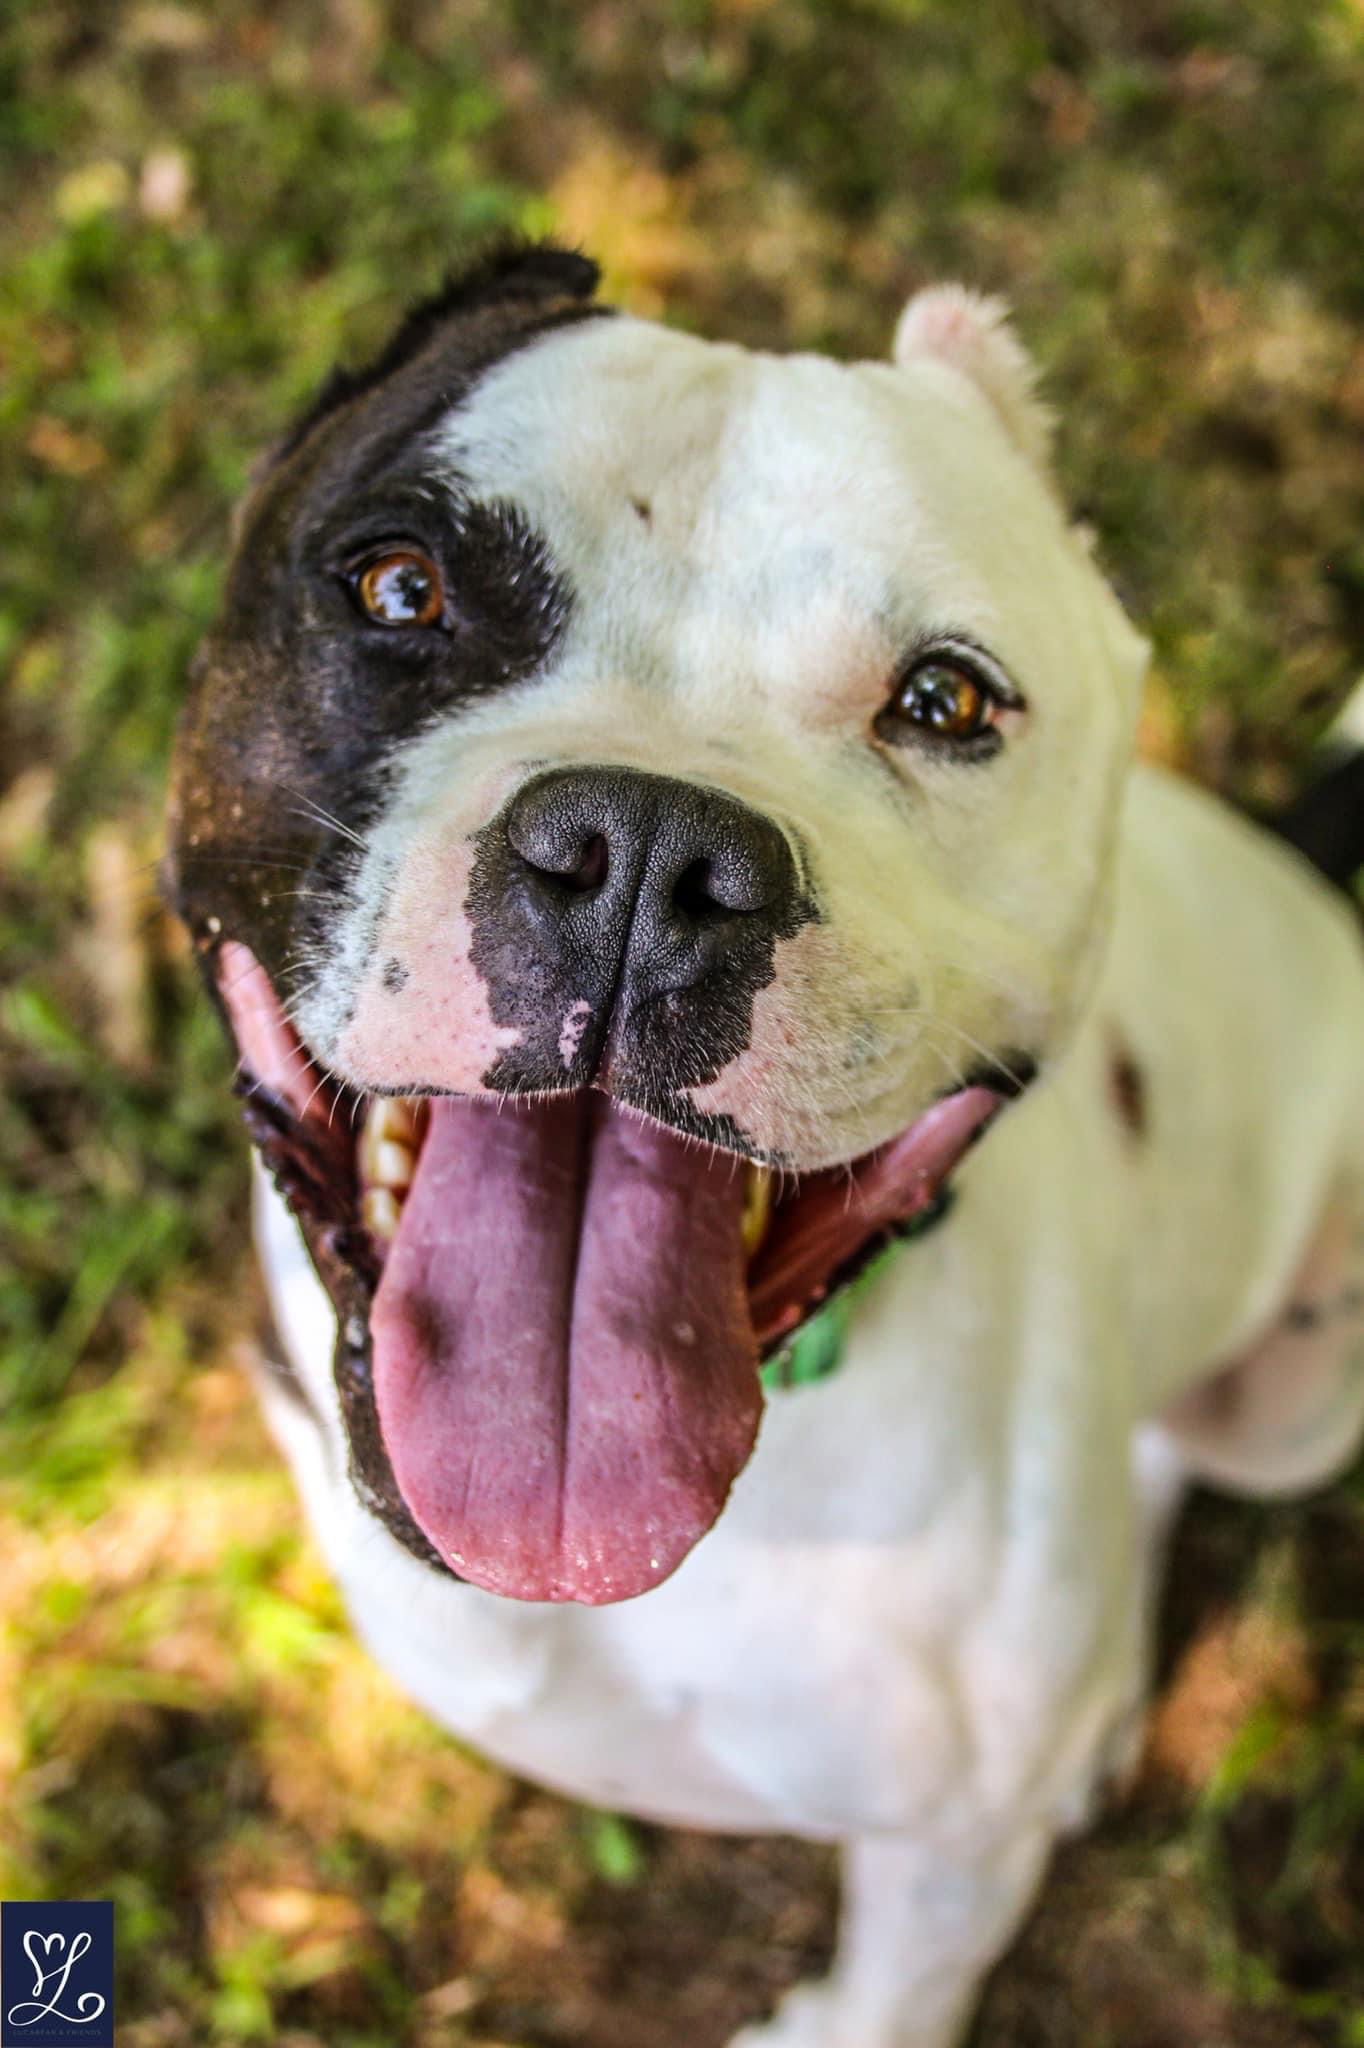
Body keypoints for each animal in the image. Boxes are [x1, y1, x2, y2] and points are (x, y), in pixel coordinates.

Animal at [164, 247, 1359, 2039]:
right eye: (399, 587)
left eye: (944, 699)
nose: (647, 849)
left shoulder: (951, 1845)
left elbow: (896, 1995)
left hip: (1296, 1401)